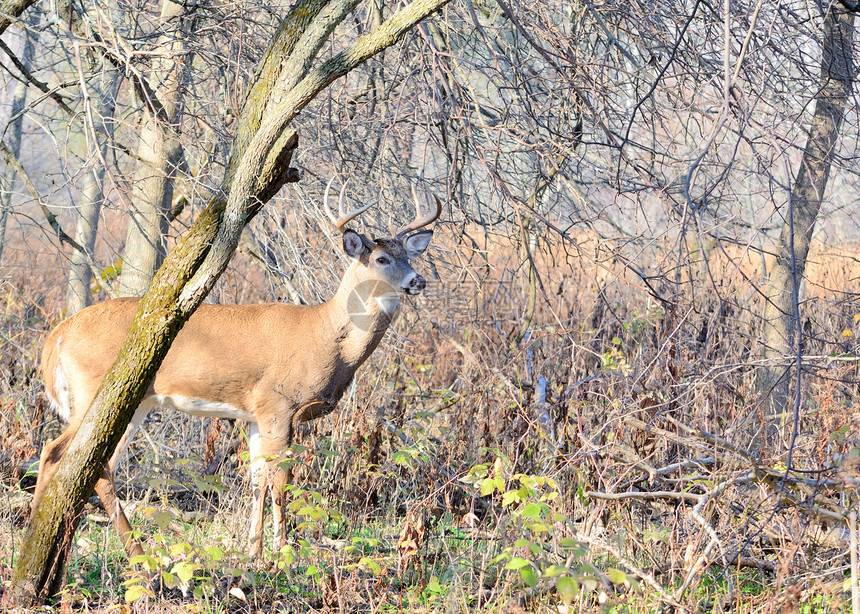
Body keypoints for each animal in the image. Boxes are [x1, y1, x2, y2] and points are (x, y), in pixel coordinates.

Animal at [31, 180, 444, 560]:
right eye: (381, 259)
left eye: (409, 255)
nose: (419, 280)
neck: (325, 338)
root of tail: (57, 335)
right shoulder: (279, 405)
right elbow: (281, 479)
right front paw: (282, 553)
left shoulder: (255, 415)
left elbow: (257, 479)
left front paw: (254, 551)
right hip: (94, 392)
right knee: (56, 452)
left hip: (134, 402)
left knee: (96, 465)